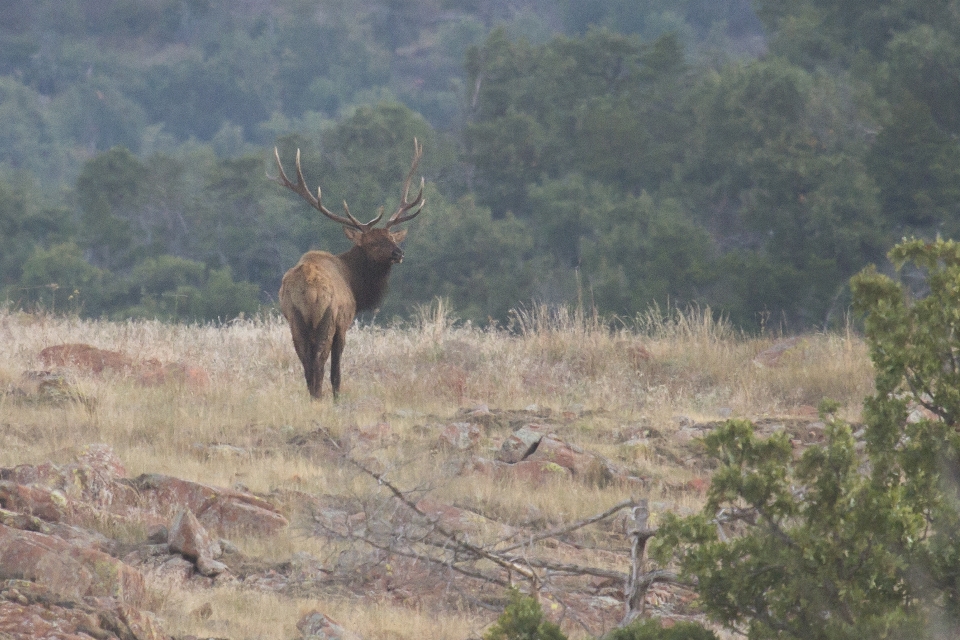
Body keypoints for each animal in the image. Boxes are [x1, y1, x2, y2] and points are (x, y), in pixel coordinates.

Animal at [268, 140, 422, 400]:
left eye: (391, 237)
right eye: (372, 243)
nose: (398, 253)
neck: (355, 285)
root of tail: (308, 289)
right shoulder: (344, 322)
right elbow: (337, 370)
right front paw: (338, 398)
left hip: (295, 319)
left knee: (305, 361)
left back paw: (313, 396)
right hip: (327, 318)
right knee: (319, 361)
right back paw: (320, 397)